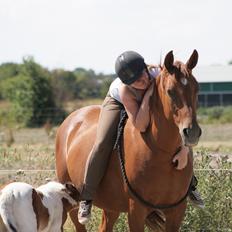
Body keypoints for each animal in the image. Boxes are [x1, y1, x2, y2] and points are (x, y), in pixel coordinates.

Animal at [55, 49, 201, 231]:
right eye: (170, 91)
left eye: (197, 88)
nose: (192, 132)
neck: (161, 151)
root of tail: (71, 119)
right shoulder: (136, 210)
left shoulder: (176, 211)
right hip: (73, 205)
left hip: (111, 206)